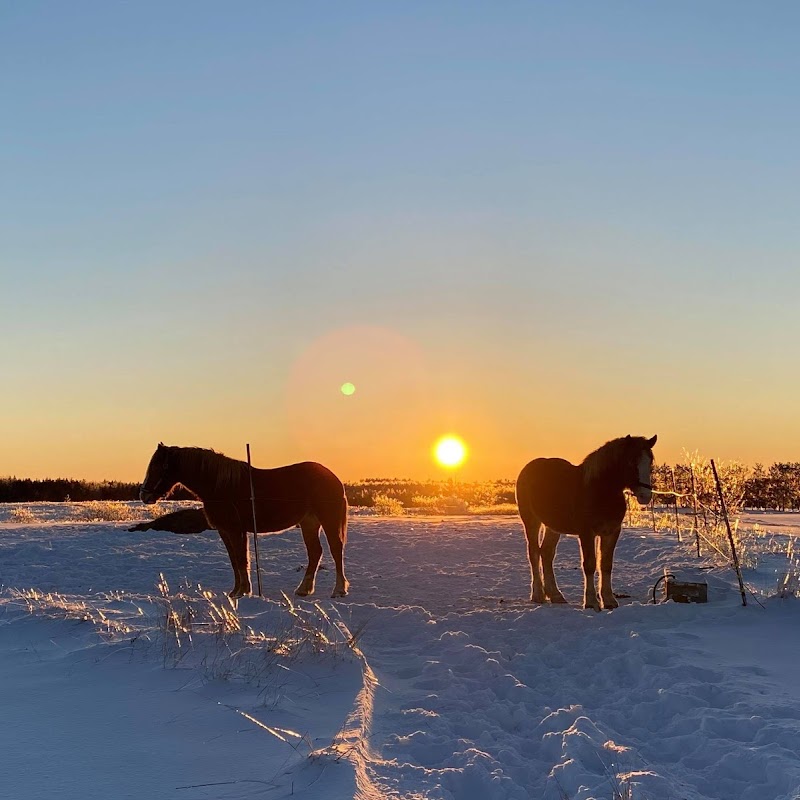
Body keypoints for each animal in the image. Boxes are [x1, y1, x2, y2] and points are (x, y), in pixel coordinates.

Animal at [138, 446, 350, 596]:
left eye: (159, 466)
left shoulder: (234, 530)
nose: (144, 495)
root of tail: (334, 479)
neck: (219, 486)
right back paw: (304, 590)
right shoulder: (225, 531)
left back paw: (339, 590)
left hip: (328, 521)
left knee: (335, 549)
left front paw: (243, 591)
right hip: (309, 523)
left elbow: (241, 559)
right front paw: (235, 592)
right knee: (315, 552)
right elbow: (234, 560)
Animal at [520, 434, 656, 608]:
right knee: (534, 553)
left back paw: (555, 595)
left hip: (553, 527)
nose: (645, 496)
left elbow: (606, 564)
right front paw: (591, 601)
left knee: (546, 553)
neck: (599, 491)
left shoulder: (611, 532)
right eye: (631, 461)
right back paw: (538, 594)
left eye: (650, 462)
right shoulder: (586, 533)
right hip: (531, 521)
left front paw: (609, 600)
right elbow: (590, 565)